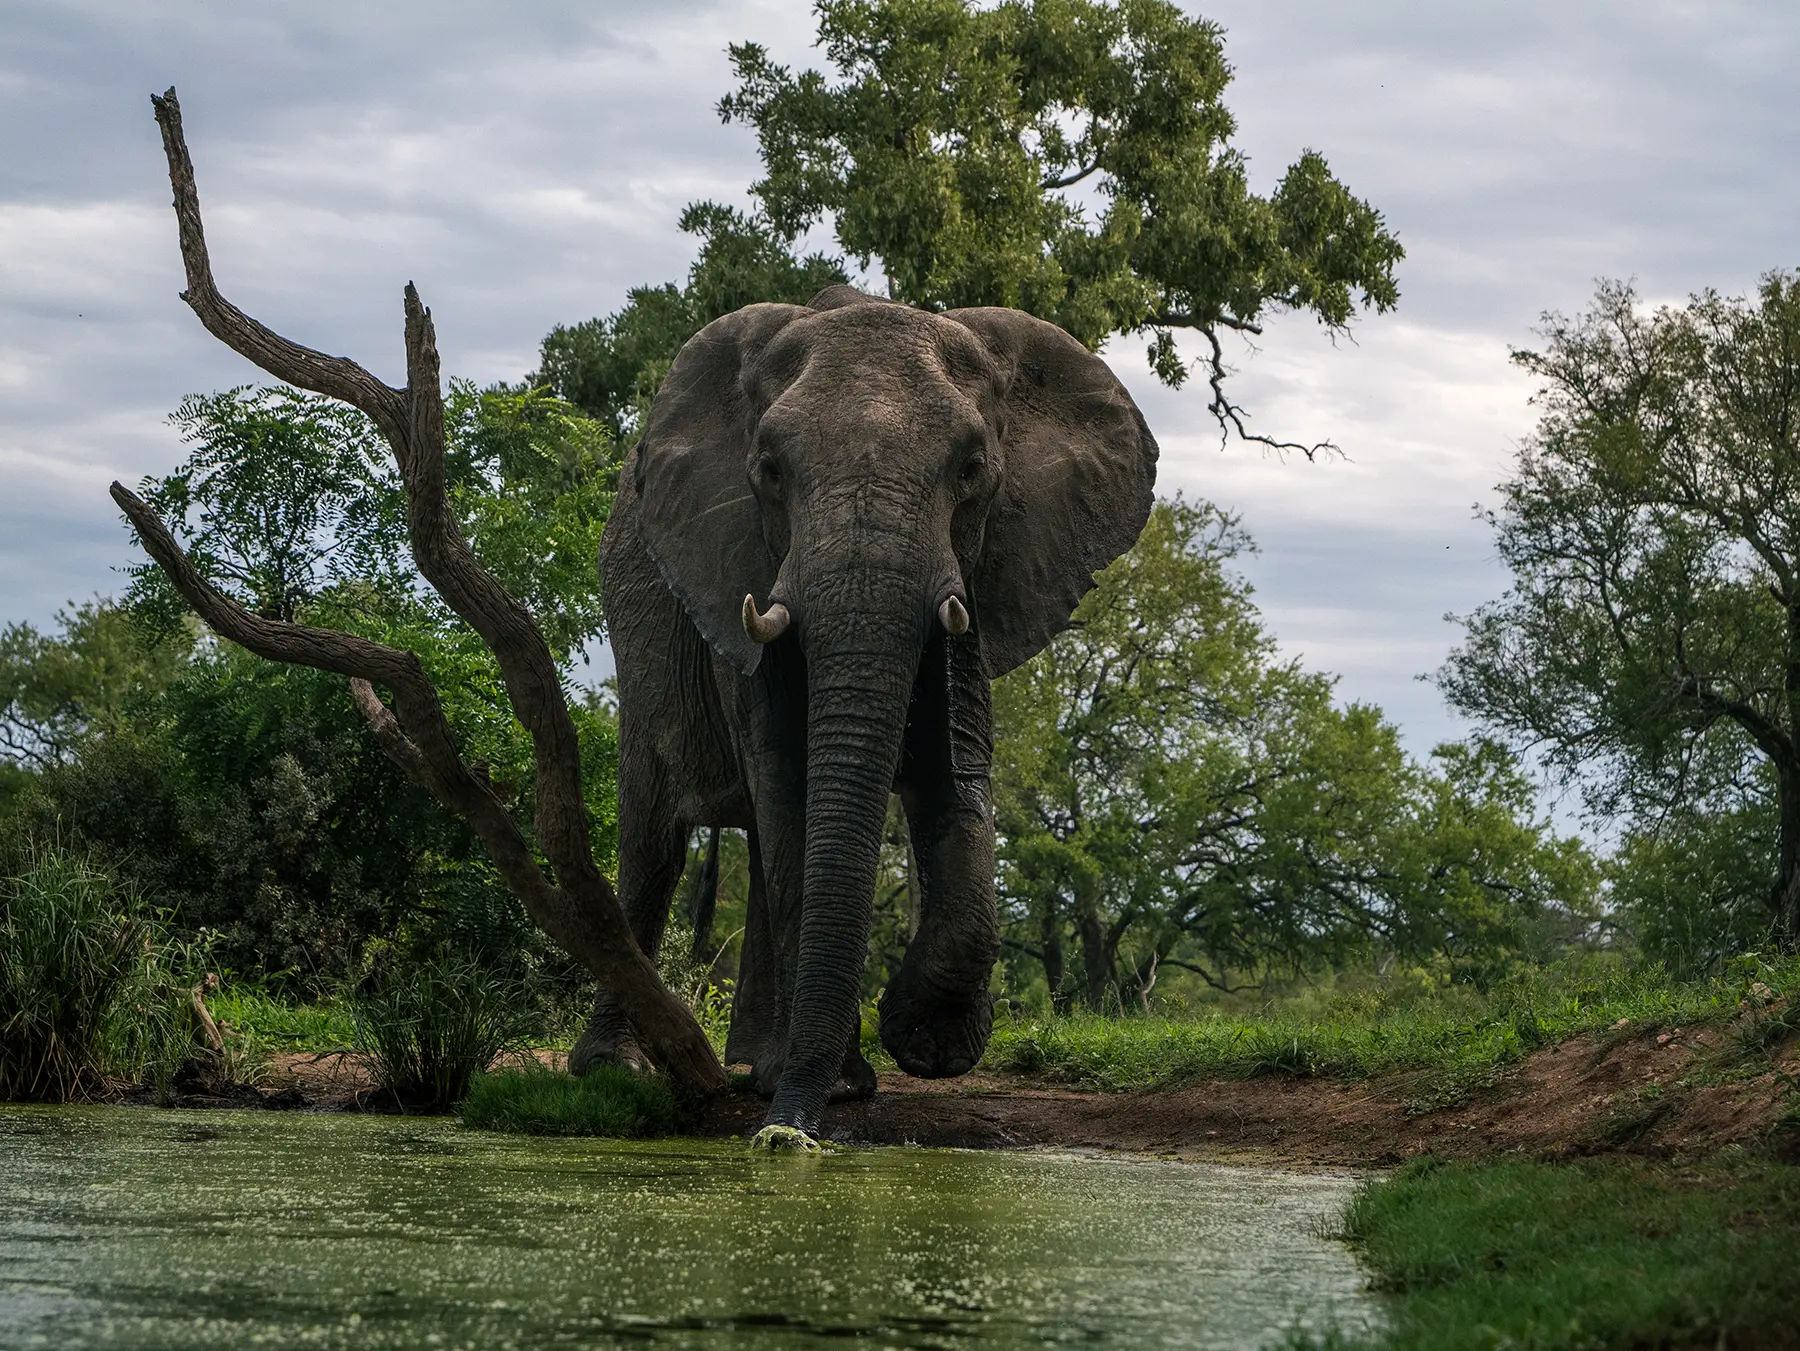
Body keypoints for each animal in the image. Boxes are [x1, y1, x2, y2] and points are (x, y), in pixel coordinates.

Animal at [572, 284, 1158, 1139]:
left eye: (973, 469)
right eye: (769, 469)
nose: (785, 1134)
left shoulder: (987, 579)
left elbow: (954, 776)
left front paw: (926, 1040)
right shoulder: (743, 569)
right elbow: (789, 777)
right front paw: (850, 1081)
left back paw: (758, 1066)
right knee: (656, 841)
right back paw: (622, 1069)